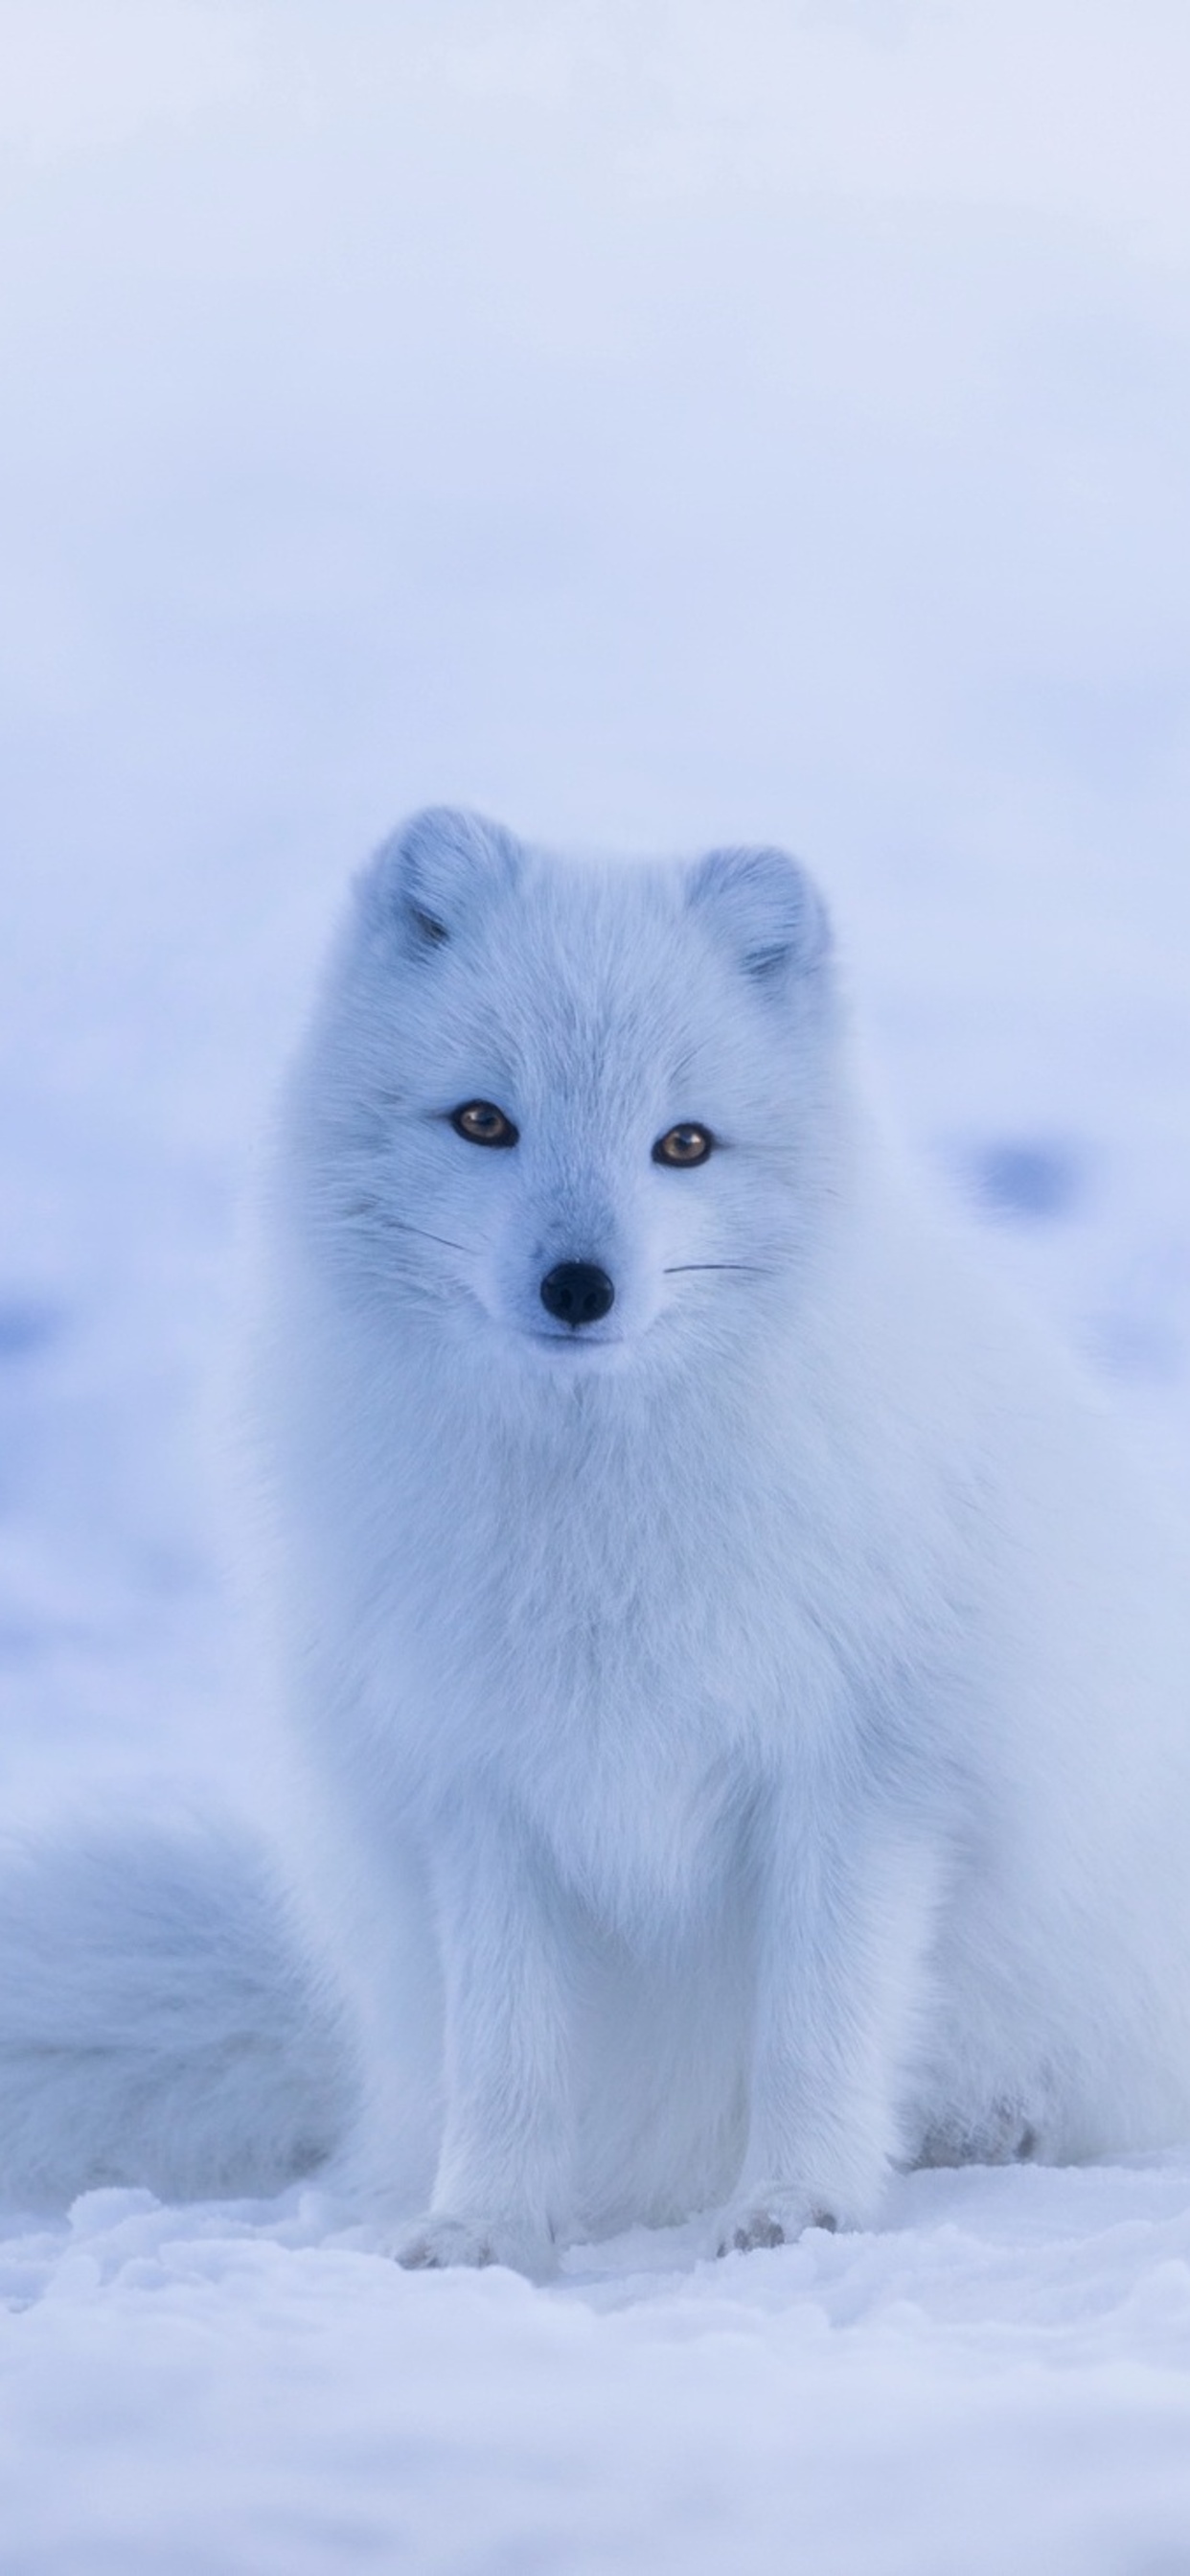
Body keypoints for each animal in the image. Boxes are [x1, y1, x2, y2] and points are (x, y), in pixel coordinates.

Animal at [2, 798, 1190, 2256]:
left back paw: (986, 2126)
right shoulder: (481, 1790)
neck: (595, 1513)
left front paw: (794, 2205)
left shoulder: (860, 1776)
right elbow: (508, 2056)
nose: (579, 1285)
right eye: (481, 1120)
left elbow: (815, 2028)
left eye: (683, 1144)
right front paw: (485, 2229)